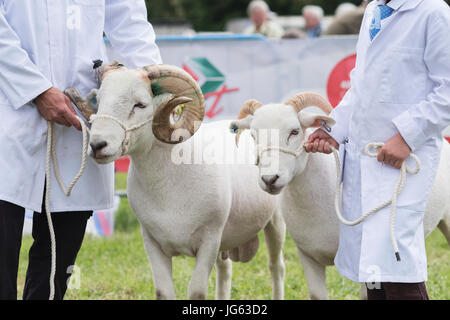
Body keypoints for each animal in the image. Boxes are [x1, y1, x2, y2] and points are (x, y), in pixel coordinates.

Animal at [66, 62, 284, 300]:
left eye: (140, 104)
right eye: (99, 100)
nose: (97, 145)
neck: (168, 189)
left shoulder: (209, 241)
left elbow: (196, 292)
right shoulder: (152, 243)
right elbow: (163, 292)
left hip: (275, 222)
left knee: (276, 268)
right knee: (225, 271)